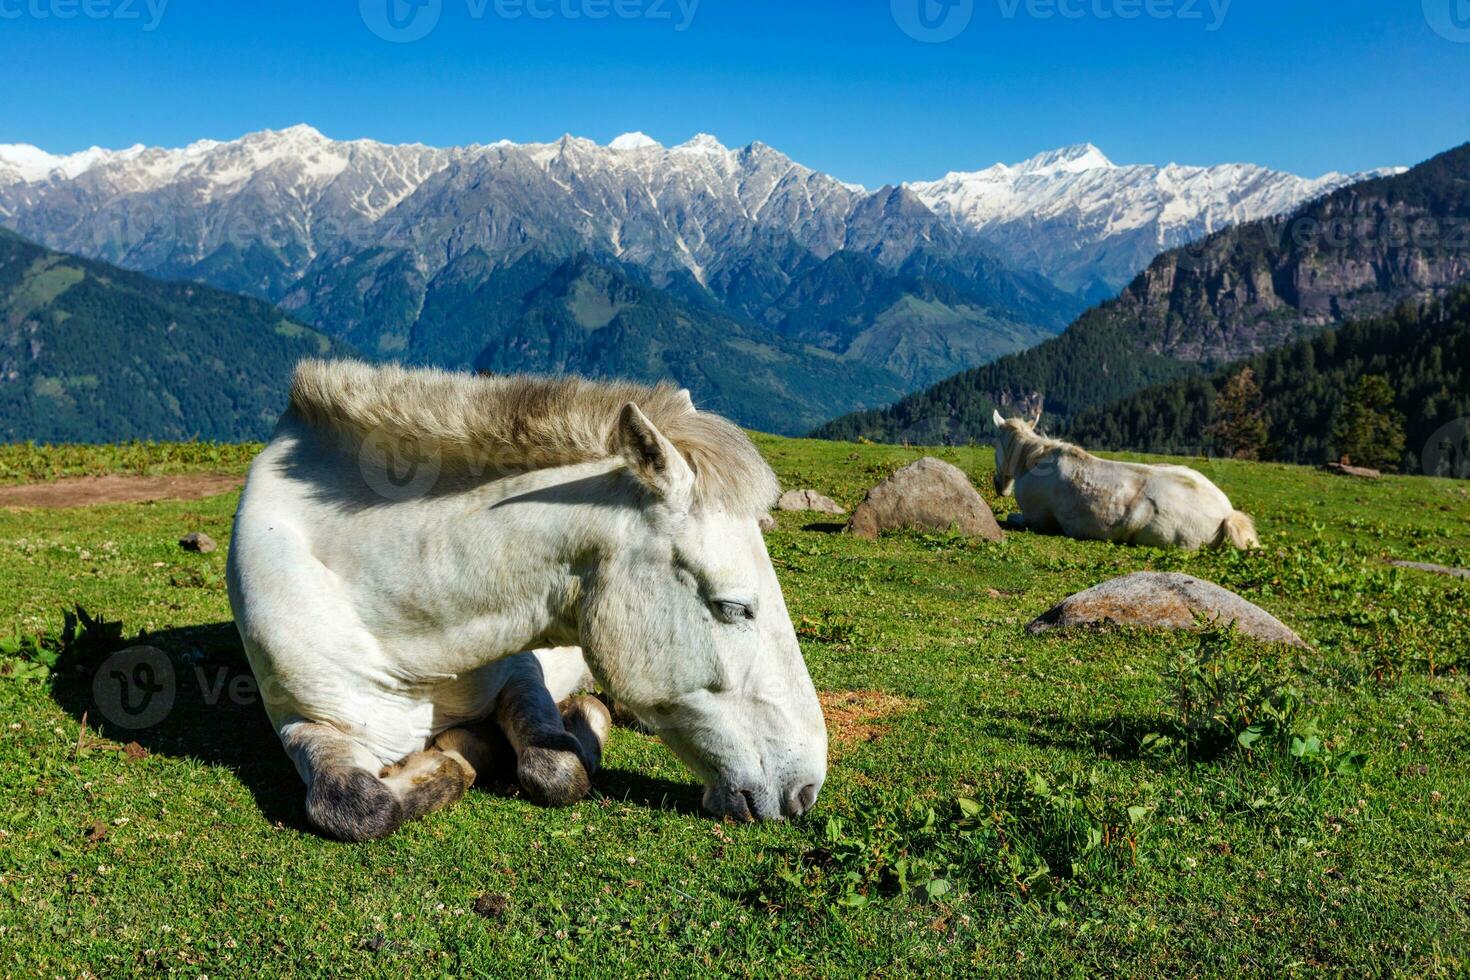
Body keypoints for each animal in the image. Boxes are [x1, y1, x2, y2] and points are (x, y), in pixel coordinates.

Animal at [226, 359, 829, 846]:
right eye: (734, 607)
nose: (806, 787)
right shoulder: (303, 721)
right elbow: (357, 805)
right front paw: (448, 758)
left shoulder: (522, 674)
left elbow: (555, 767)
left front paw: (569, 726)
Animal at [993, 411, 1258, 552]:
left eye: (996, 445)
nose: (999, 485)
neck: (1033, 460)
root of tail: (1227, 513)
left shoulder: (1035, 519)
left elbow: (1012, 517)